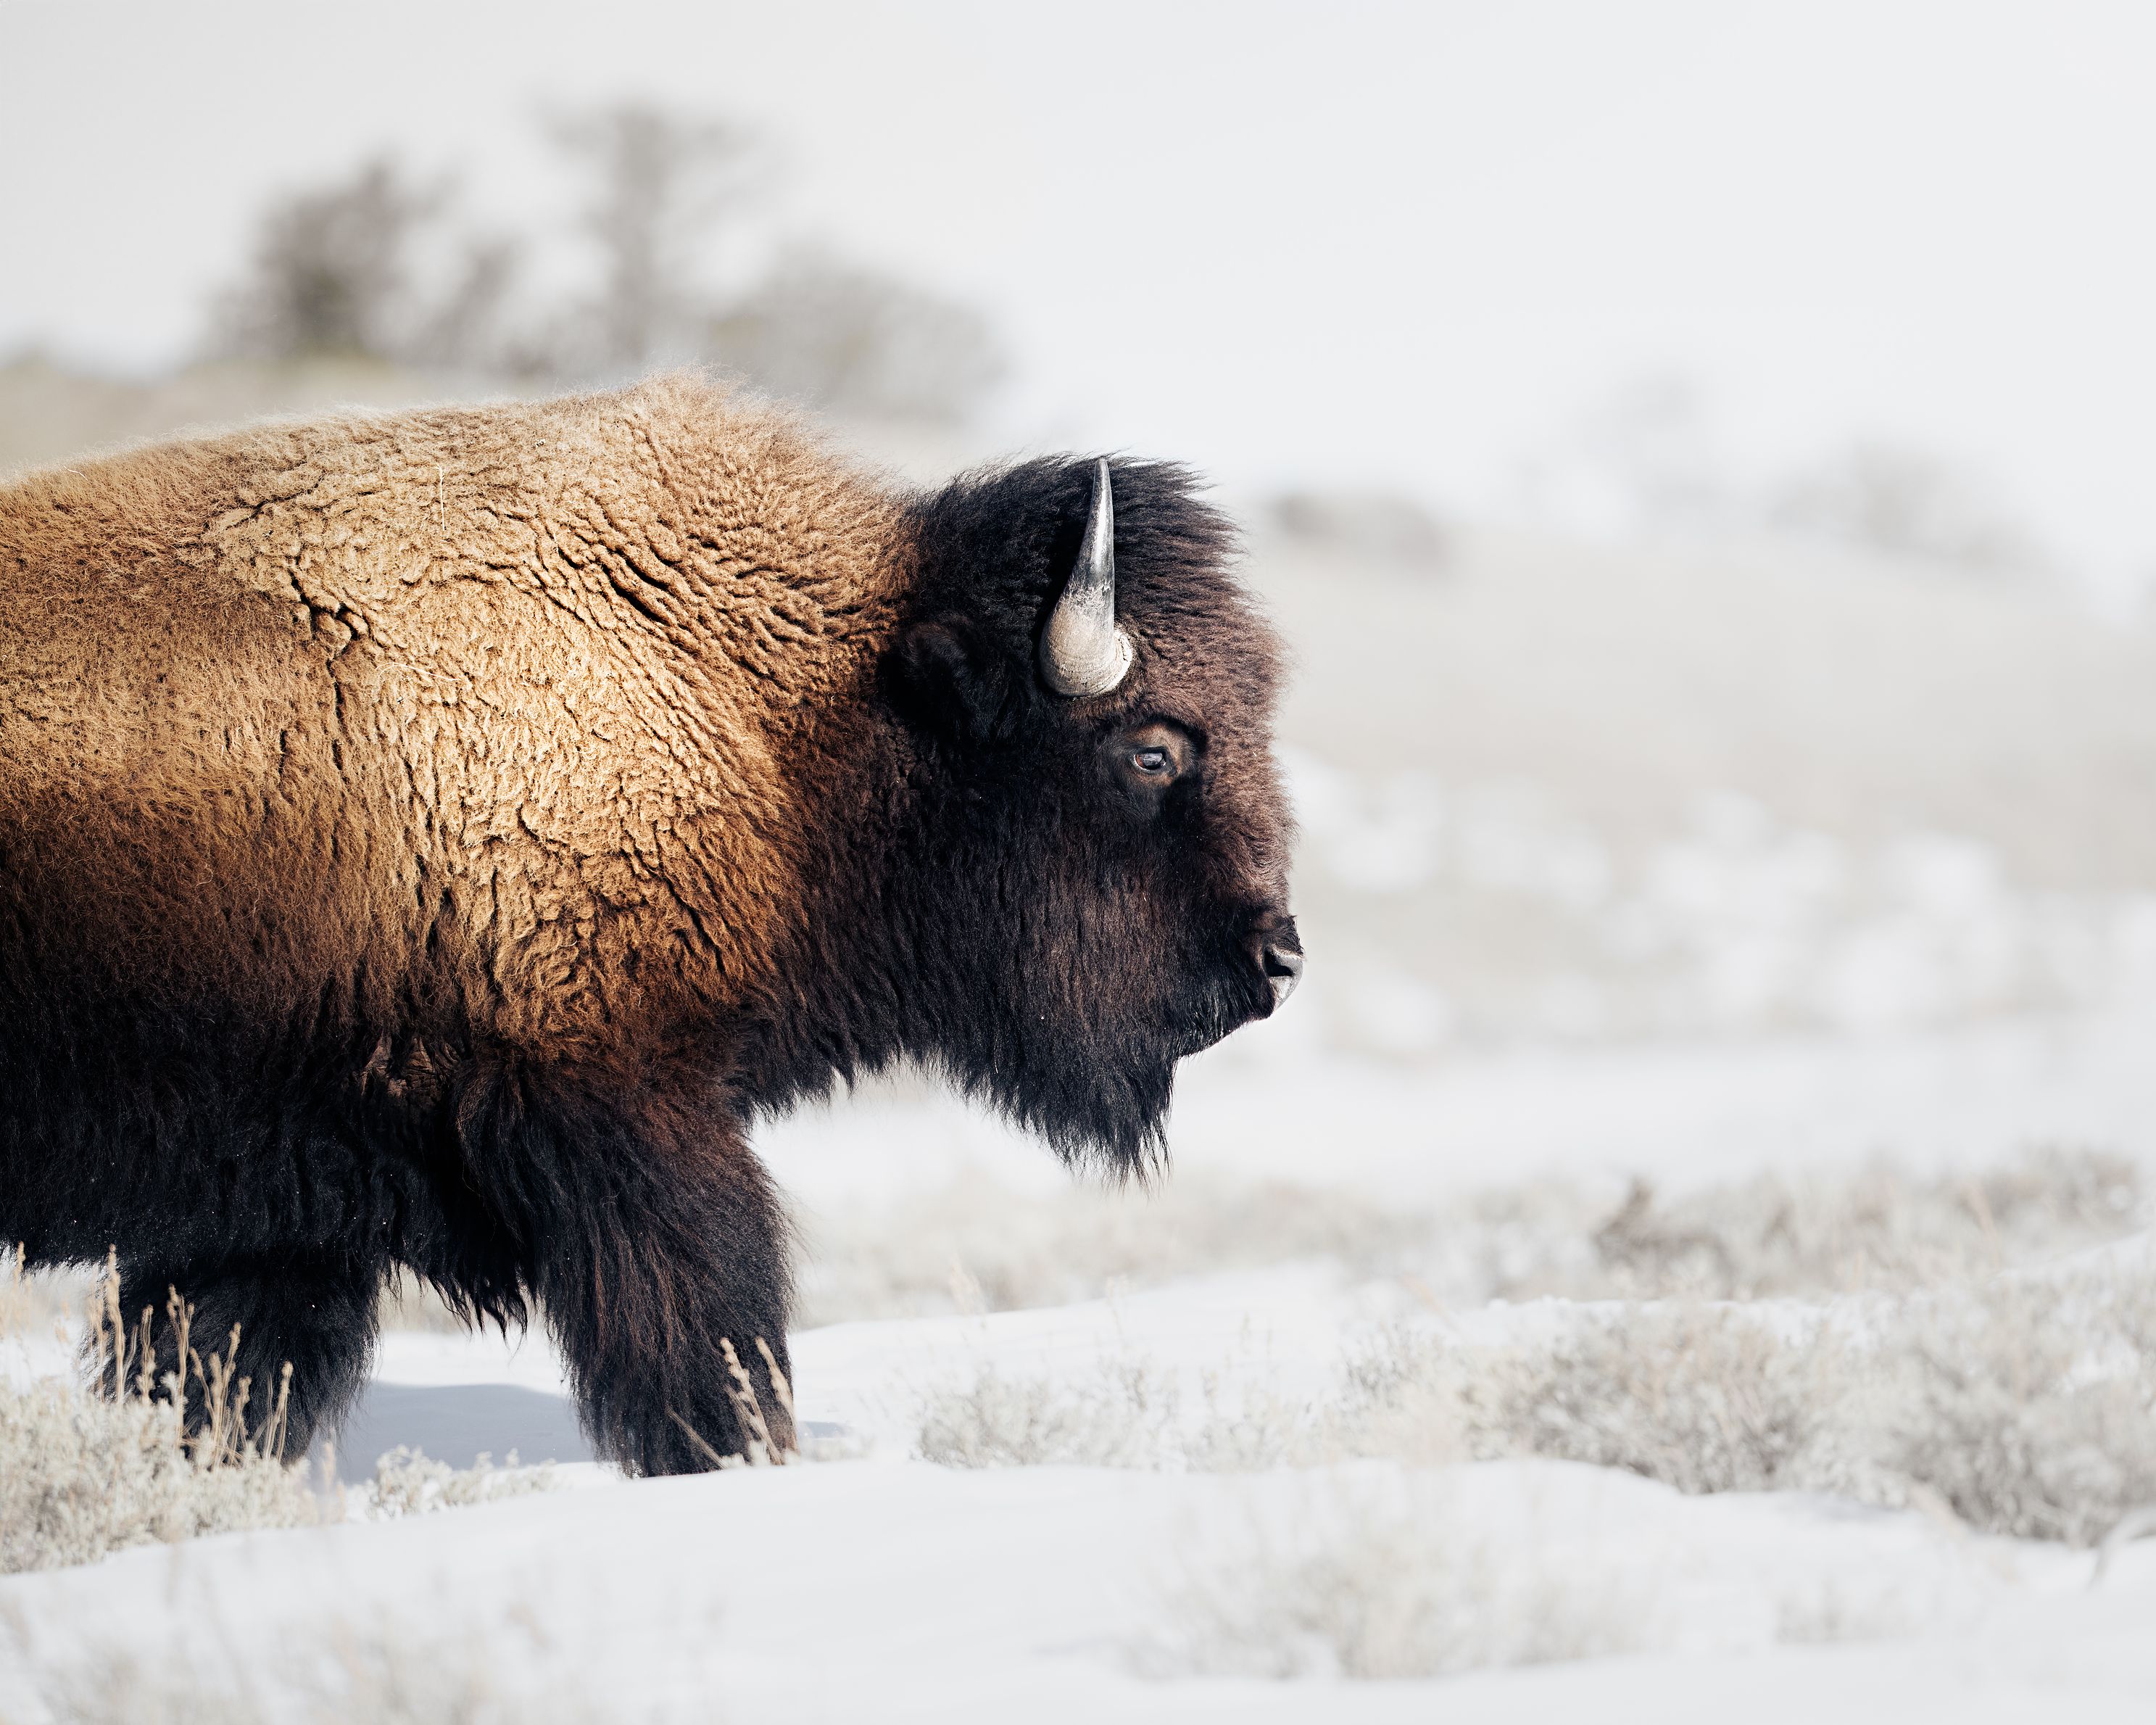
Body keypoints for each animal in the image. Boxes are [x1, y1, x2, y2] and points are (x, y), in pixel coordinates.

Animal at [0, 377, 1300, 1472]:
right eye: (1150, 748)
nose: (1275, 958)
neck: (780, 706)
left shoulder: (269, 1209)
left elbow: (216, 1380)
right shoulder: (629, 1111)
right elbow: (710, 1333)